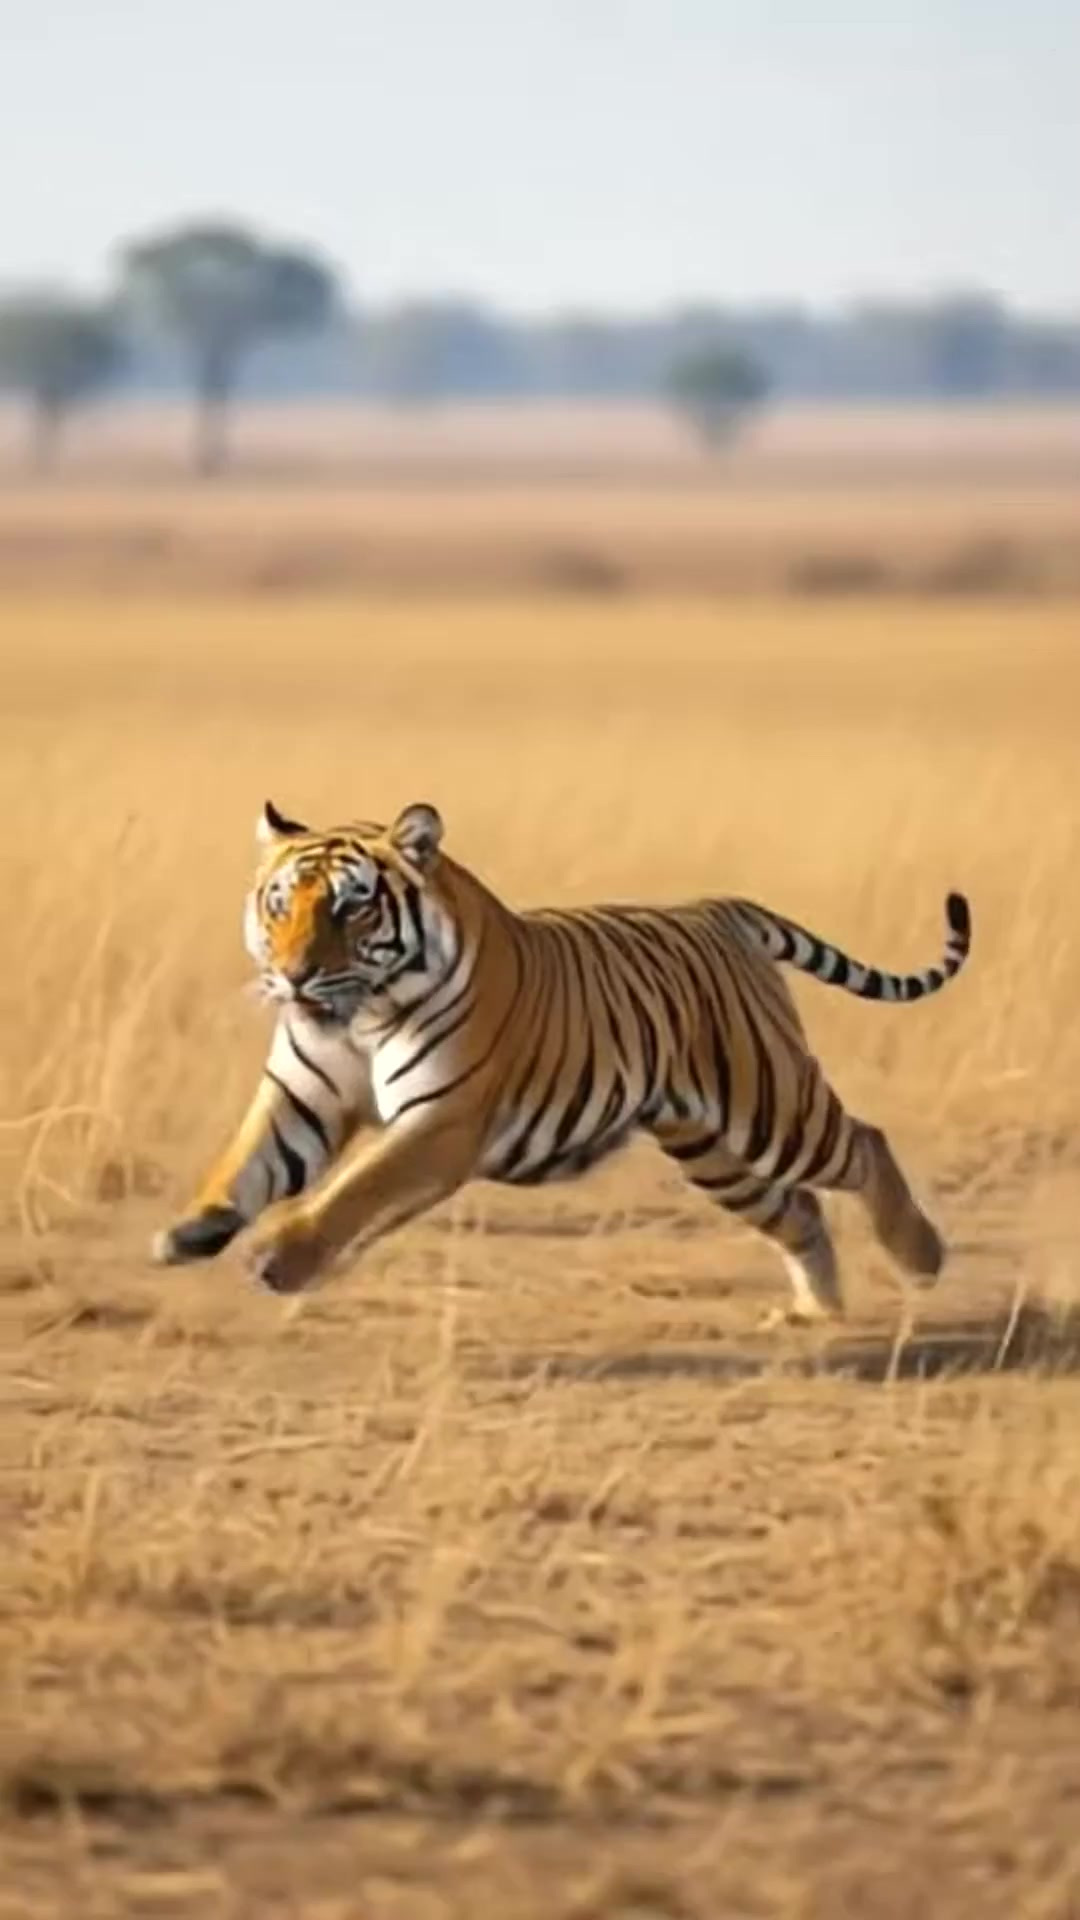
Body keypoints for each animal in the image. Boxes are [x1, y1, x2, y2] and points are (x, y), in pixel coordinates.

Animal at [152, 799, 971, 1325]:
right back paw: (817, 1312)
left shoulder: (441, 1122)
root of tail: (717, 908)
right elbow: (242, 1164)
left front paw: (277, 1257)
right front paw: (190, 1230)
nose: (291, 978)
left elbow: (353, 1190)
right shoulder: (301, 1097)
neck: (361, 1017)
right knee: (797, 1209)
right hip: (710, 1149)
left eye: (352, 907)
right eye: (279, 904)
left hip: (769, 1106)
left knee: (863, 1142)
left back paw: (921, 1256)